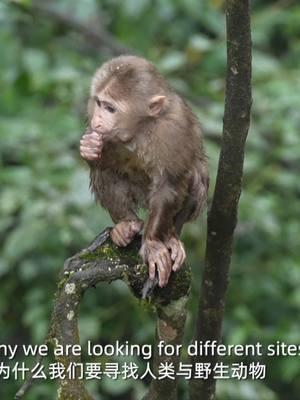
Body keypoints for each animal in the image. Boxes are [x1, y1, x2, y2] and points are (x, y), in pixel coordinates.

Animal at [79, 54, 209, 290]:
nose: (97, 120)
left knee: (194, 175)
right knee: (107, 172)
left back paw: (171, 237)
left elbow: (169, 184)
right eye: (100, 104)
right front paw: (90, 148)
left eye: (110, 109)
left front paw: (153, 244)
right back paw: (125, 225)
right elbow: (104, 162)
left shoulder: (174, 129)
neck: (139, 129)